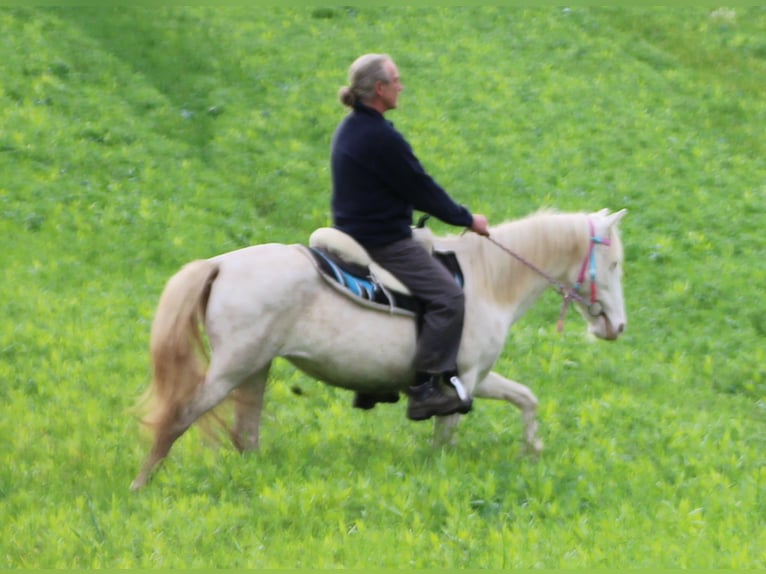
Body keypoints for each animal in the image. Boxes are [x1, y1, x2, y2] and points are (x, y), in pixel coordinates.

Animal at [132, 208, 628, 490]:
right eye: (615, 264)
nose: (617, 326)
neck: (487, 279)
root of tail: (220, 264)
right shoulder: (462, 380)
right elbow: (445, 435)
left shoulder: (476, 379)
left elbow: (527, 399)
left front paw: (532, 453)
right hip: (231, 369)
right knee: (177, 417)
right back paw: (141, 484)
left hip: (255, 368)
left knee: (245, 432)